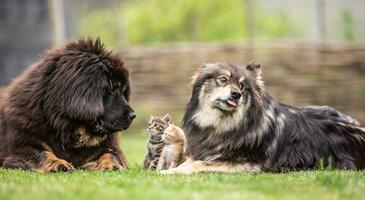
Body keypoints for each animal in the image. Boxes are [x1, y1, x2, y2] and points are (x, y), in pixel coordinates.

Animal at [0, 38, 135, 172]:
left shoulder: (109, 146)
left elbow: (110, 154)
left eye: (123, 91)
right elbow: (44, 153)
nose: (133, 115)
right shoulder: (23, 146)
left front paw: (110, 165)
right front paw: (58, 163)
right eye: (112, 88)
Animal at [162, 62, 364, 173]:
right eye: (223, 79)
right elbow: (189, 162)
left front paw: (166, 174)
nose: (236, 94)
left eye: (242, 86)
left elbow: (196, 166)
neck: (224, 125)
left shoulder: (247, 163)